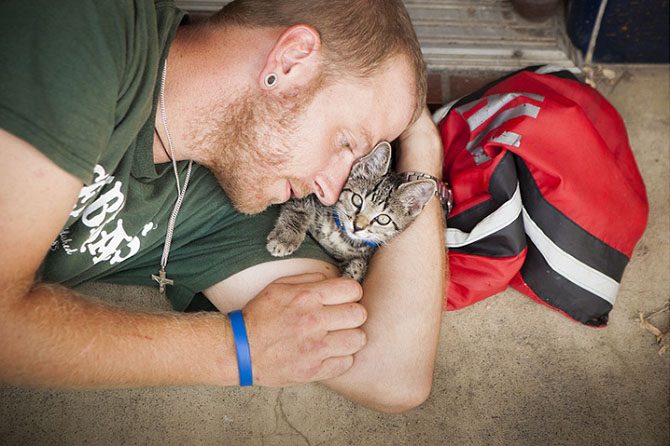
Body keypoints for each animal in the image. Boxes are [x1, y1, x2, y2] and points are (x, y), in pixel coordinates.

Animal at [266, 141, 438, 280]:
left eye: (383, 219)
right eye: (357, 200)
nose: (357, 226)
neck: (340, 236)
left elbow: (360, 265)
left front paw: (353, 272)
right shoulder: (308, 190)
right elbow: (299, 209)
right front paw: (285, 238)